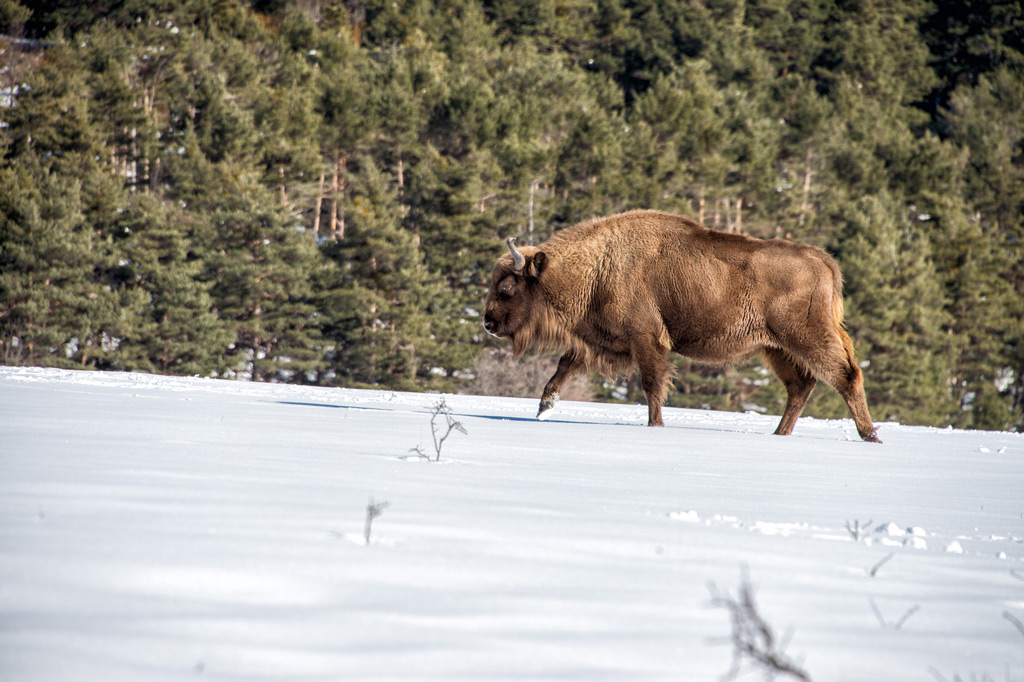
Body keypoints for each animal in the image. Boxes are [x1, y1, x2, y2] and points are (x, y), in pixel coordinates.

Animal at [481, 208, 880, 440]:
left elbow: (651, 384)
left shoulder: (646, 339)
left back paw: (869, 435)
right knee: (800, 387)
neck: (599, 265)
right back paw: (779, 434)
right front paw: (544, 406)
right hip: (776, 348)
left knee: (846, 377)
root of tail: (823, 261)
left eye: (507, 288)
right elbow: (565, 364)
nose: (487, 323)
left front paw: (655, 426)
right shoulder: (601, 340)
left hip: (806, 337)